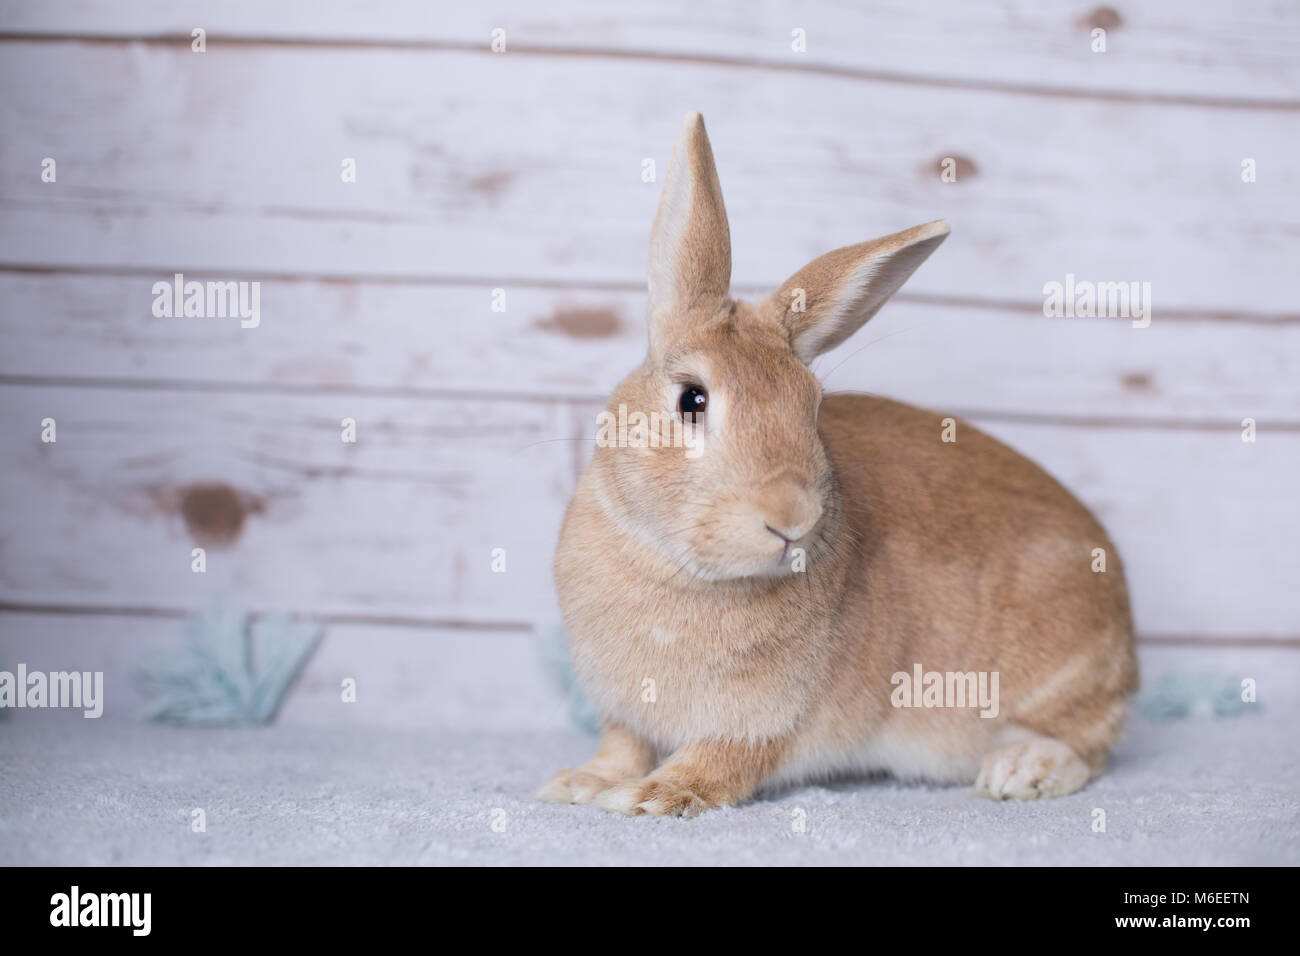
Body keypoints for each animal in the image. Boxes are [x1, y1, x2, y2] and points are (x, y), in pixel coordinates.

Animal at [537, 112, 1138, 817]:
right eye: (691, 399)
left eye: (814, 407)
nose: (791, 519)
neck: (677, 568)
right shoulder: (624, 716)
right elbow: (623, 745)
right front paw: (579, 784)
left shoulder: (763, 722)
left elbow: (720, 763)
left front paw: (650, 797)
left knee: (1088, 744)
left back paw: (1021, 770)